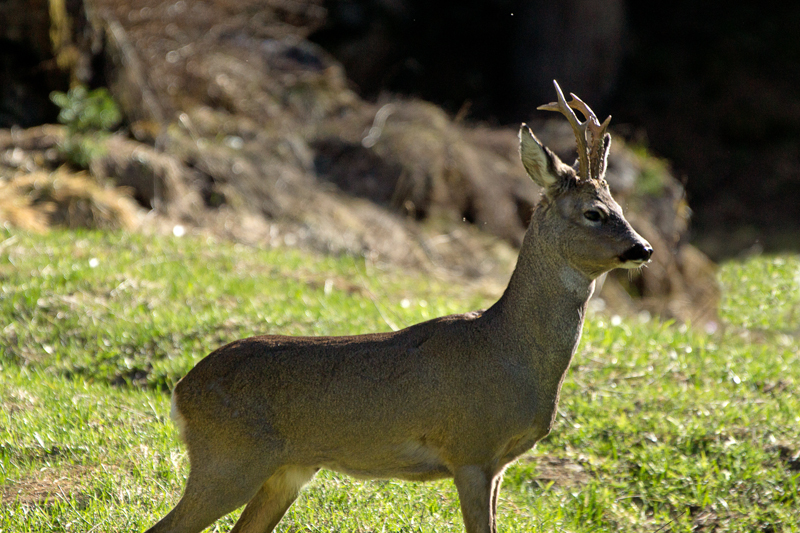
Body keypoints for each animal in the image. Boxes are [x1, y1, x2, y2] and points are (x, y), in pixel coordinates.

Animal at [147, 79, 652, 532]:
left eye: (620, 208)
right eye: (593, 212)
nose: (643, 249)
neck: (510, 350)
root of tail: (181, 391)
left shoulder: (499, 465)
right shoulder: (472, 451)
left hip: (285, 470)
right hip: (231, 458)